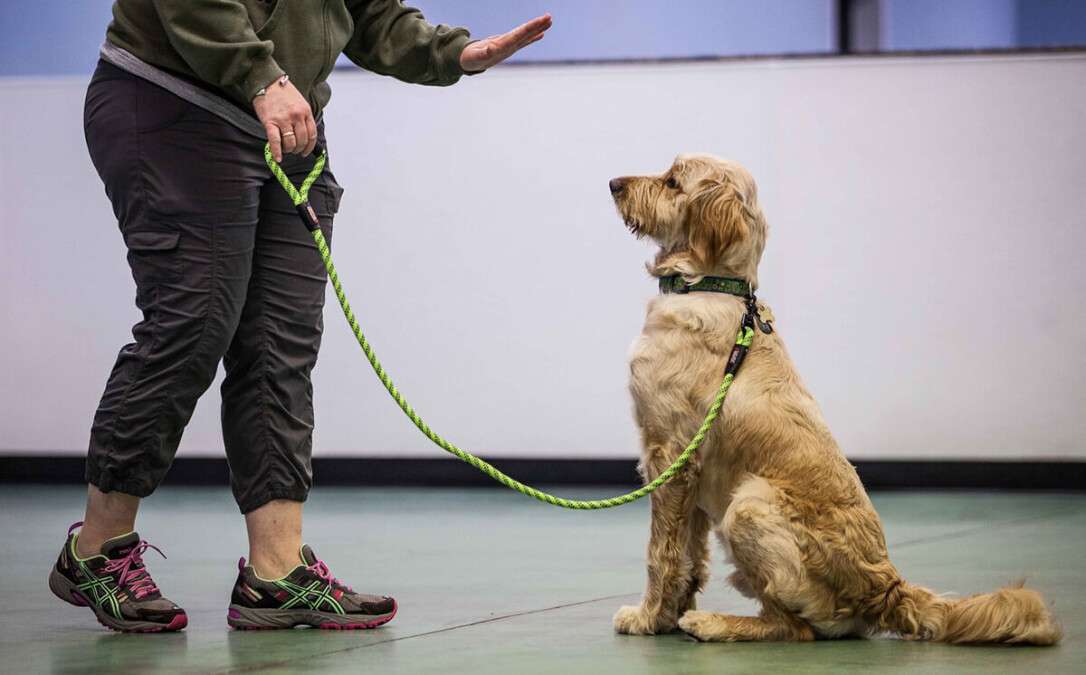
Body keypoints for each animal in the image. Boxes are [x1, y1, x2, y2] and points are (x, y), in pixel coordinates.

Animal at [612, 153, 1059, 646]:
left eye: (673, 181)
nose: (614, 184)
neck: (710, 284)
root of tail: (887, 588)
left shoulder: (669, 456)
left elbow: (662, 554)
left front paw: (649, 617)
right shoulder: (687, 474)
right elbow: (691, 556)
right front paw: (669, 615)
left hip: (747, 505)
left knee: (794, 628)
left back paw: (715, 624)